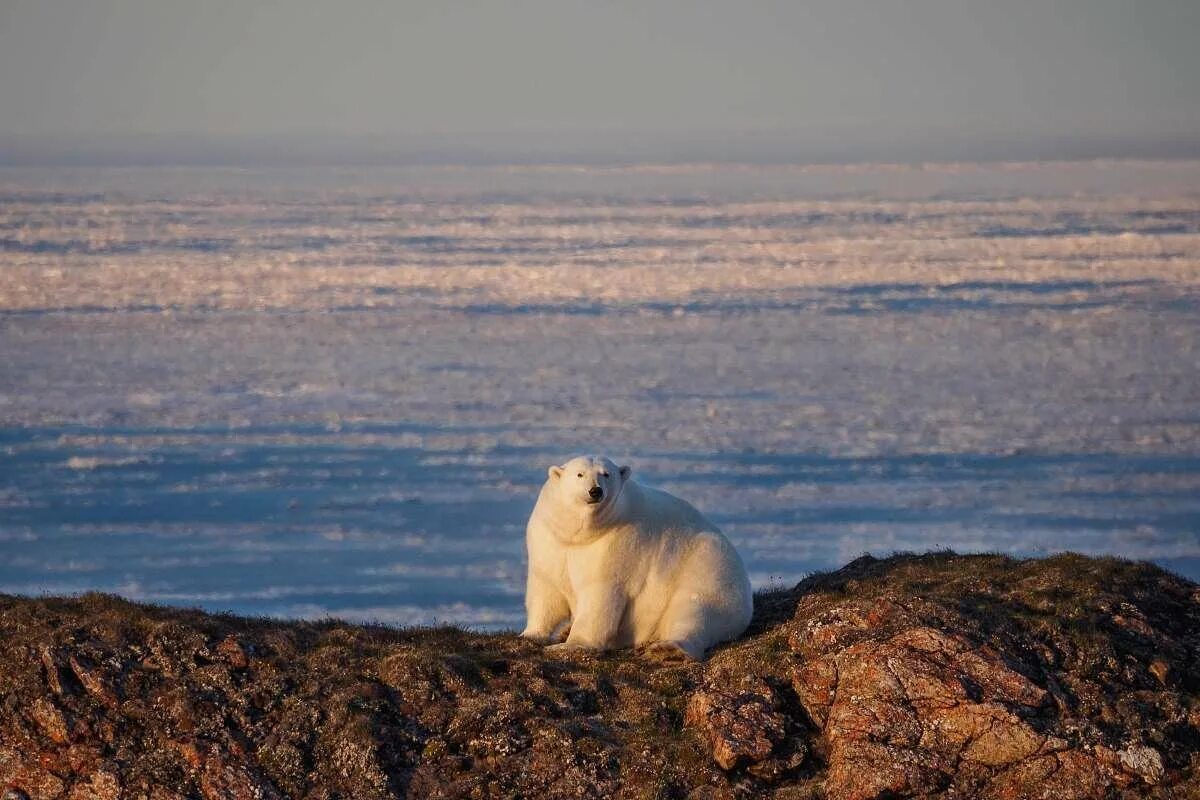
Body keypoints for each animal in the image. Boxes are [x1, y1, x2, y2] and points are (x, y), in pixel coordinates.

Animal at [518, 453, 748, 662]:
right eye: (579, 474)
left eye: (606, 474)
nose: (595, 491)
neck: (582, 534)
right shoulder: (550, 540)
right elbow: (547, 590)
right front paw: (531, 634)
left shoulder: (617, 544)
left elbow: (600, 593)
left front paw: (572, 645)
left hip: (707, 568)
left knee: (693, 610)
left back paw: (668, 648)